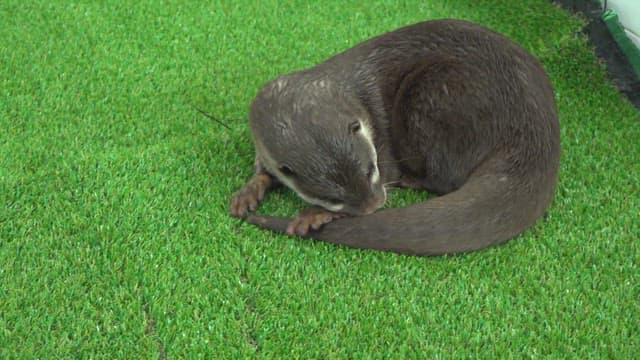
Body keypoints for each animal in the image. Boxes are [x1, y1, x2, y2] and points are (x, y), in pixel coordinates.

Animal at [230, 19, 560, 256]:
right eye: (334, 197)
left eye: (370, 170)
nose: (374, 206)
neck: (352, 96)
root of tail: (534, 127)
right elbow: (264, 170)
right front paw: (249, 191)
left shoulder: (382, 145)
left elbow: (390, 172)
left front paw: (313, 215)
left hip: (433, 94)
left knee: (445, 178)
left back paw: (410, 180)